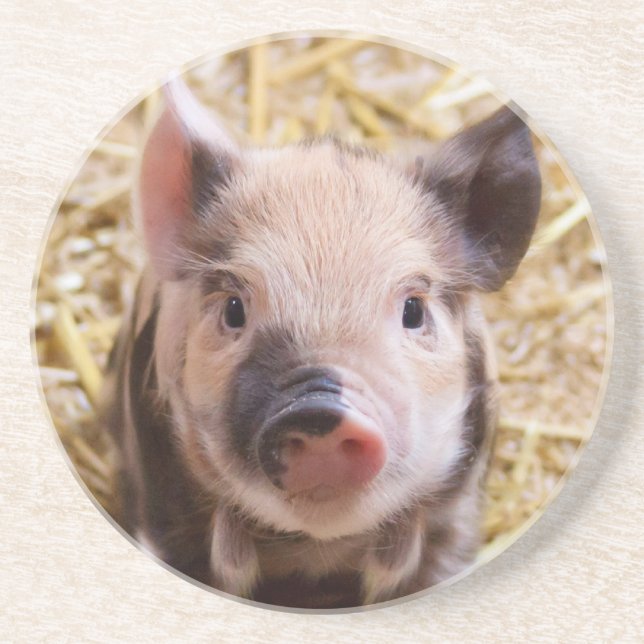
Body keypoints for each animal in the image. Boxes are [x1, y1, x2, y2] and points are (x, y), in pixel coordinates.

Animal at [102, 78, 541, 609]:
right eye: (234, 309)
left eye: (413, 310)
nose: (319, 408)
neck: (315, 554)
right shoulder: (162, 508)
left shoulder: (456, 519)